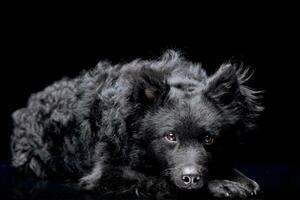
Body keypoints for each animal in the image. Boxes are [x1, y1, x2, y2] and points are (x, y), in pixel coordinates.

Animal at [10, 50, 262, 198]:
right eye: (170, 136)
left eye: (209, 139)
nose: (191, 178)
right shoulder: (107, 173)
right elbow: (161, 179)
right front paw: (222, 186)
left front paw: (241, 181)